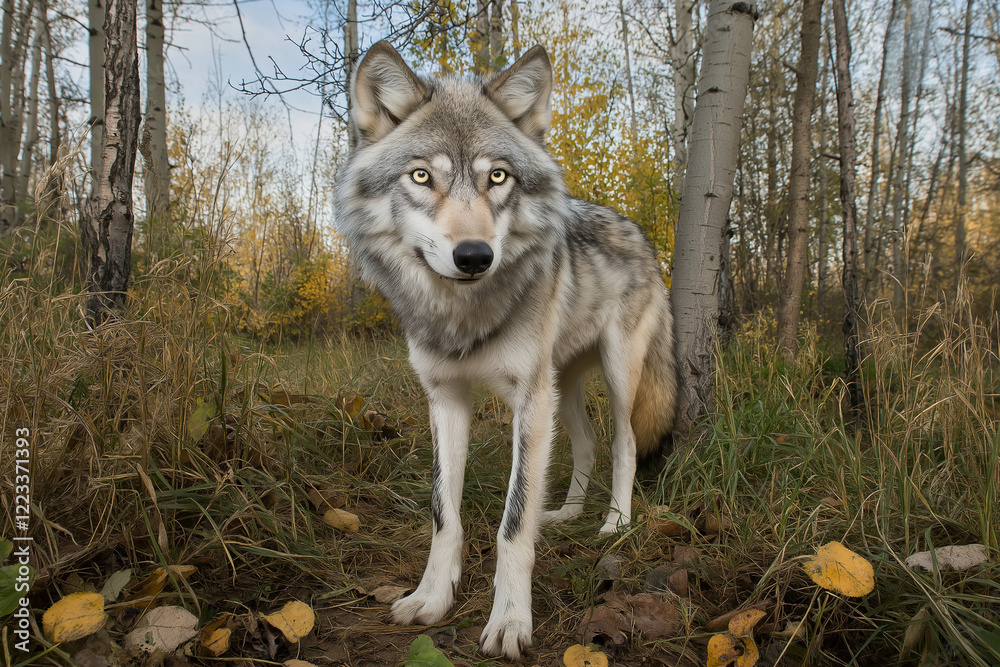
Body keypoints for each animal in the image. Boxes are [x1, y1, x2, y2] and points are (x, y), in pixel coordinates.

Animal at [334, 41, 677, 659]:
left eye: (498, 176)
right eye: (421, 176)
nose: (474, 256)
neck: (463, 316)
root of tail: (637, 229)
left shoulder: (528, 400)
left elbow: (513, 524)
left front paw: (511, 622)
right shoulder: (446, 399)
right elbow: (443, 512)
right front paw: (430, 598)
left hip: (614, 374)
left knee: (623, 444)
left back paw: (614, 523)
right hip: (562, 387)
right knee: (586, 445)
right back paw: (564, 513)